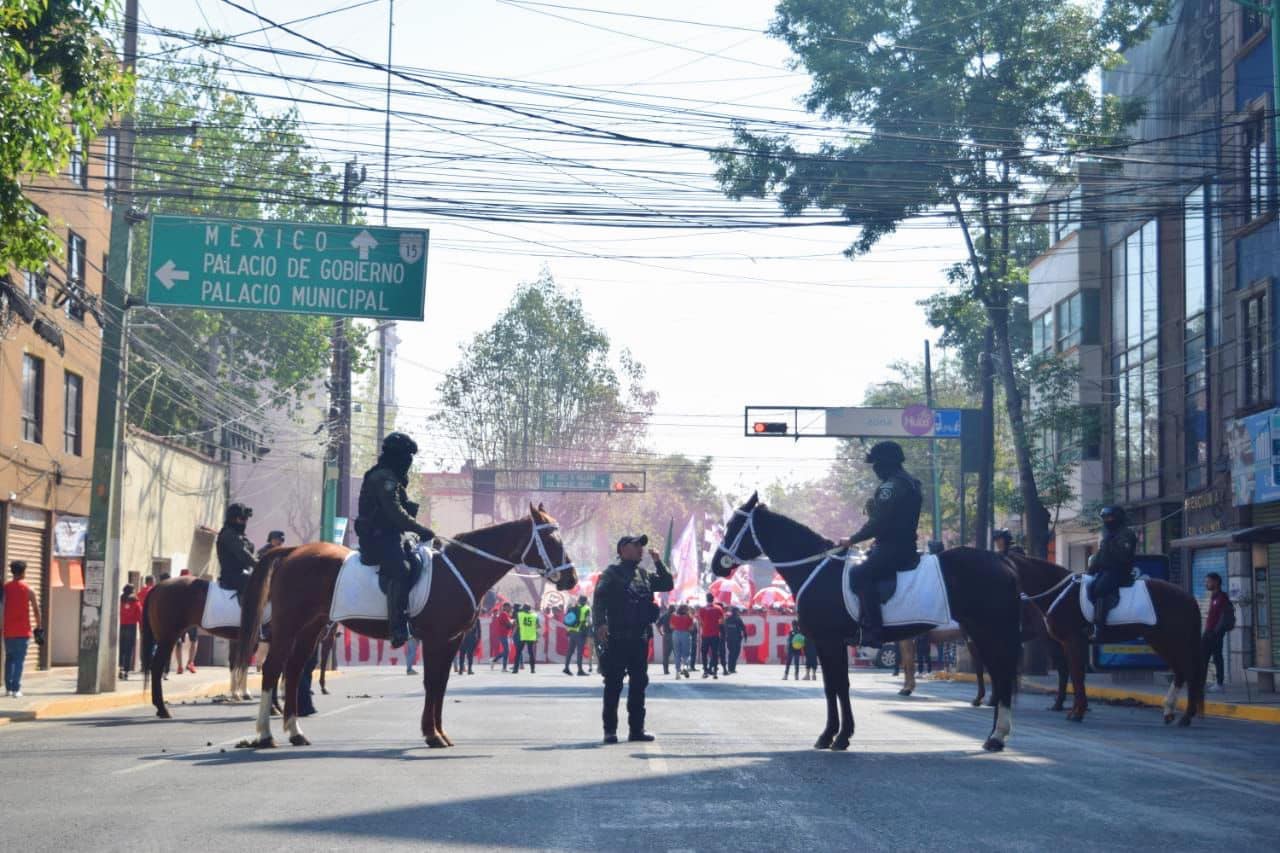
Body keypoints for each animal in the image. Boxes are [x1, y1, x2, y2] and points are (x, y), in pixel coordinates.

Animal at [236, 502, 581, 747]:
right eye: (550, 537)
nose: (571, 578)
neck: (459, 569)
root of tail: (293, 552)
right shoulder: (436, 639)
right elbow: (432, 682)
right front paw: (431, 734)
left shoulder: (452, 641)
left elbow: (441, 684)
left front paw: (438, 732)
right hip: (288, 625)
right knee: (273, 668)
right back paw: (265, 734)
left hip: (312, 627)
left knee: (294, 670)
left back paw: (295, 732)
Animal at [716, 491, 1024, 753]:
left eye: (733, 524)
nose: (716, 563)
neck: (816, 568)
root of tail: (1003, 563)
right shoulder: (835, 643)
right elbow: (837, 685)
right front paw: (840, 734)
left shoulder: (828, 641)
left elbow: (836, 685)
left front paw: (835, 736)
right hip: (981, 632)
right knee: (999, 675)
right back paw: (993, 735)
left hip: (990, 630)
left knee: (1001, 675)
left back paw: (997, 736)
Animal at [1008, 550, 1198, 722]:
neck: (1058, 593)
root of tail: (1187, 596)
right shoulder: (1069, 643)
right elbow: (1076, 675)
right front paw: (1077, 709)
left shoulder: (1073, 641)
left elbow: (1076, 674)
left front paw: (1078, 712)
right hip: (1162, 641)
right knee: (1181, 671)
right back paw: (1171, 713)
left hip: (1171, 640)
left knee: (1187, 670)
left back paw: (1185, 716)